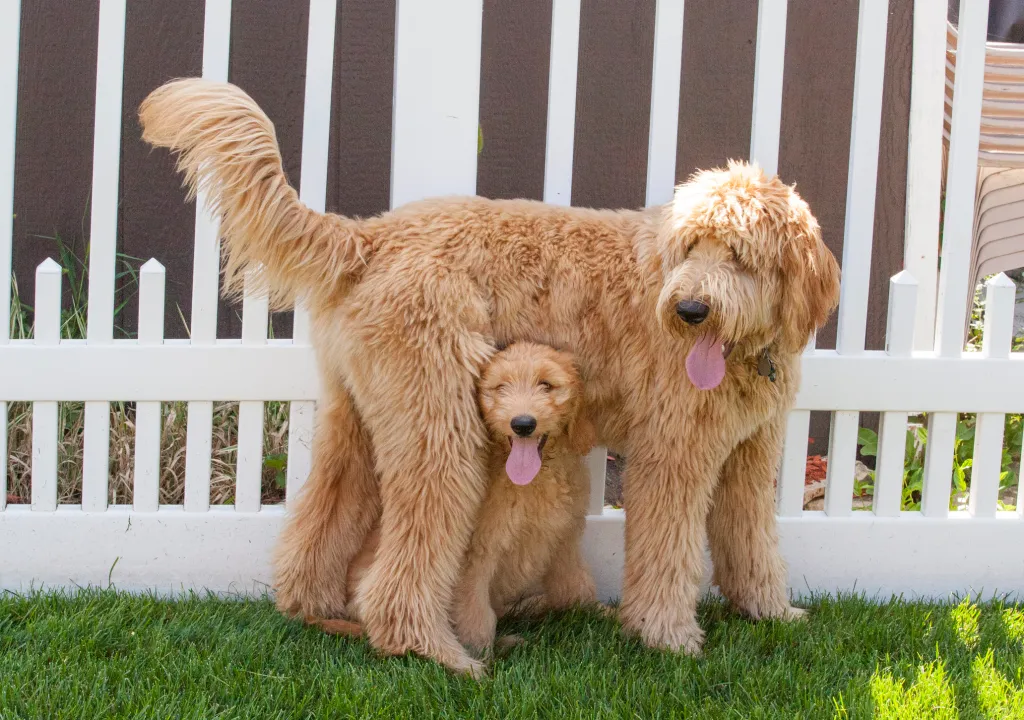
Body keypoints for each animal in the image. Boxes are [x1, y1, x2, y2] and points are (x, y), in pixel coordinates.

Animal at [138, 78, 839, 675]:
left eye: (739, 255)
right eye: (691, 246)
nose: (690, 310)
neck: (746, 351)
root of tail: (369, 237)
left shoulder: (750, 455)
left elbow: (752, 540)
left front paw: (770, 612)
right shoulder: (673, 455)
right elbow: (668, 553)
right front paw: (669, 638)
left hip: (358, 422)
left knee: (319, 528)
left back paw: (319, 614)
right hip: (440, 430)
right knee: (402, 571)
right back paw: (438, 653)